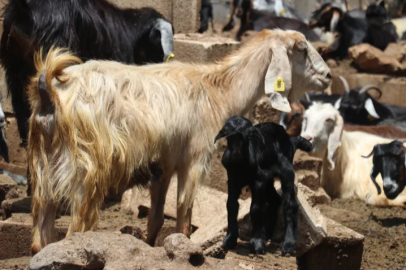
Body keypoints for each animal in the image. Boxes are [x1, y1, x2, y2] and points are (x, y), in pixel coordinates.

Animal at [214, 115, 312, 256]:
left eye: (248, 137)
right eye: (229, 136)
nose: (237, 154)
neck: (241, 166)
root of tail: (289, 138)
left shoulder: (258, 180)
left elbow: (256, 208)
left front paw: (257, 243)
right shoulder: (232, 180)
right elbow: (231, 205)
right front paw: (230, 240)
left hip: (286, 170)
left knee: (290, 204)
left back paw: (288, 245)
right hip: (268, 179)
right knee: (275, 200)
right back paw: (267, 234)